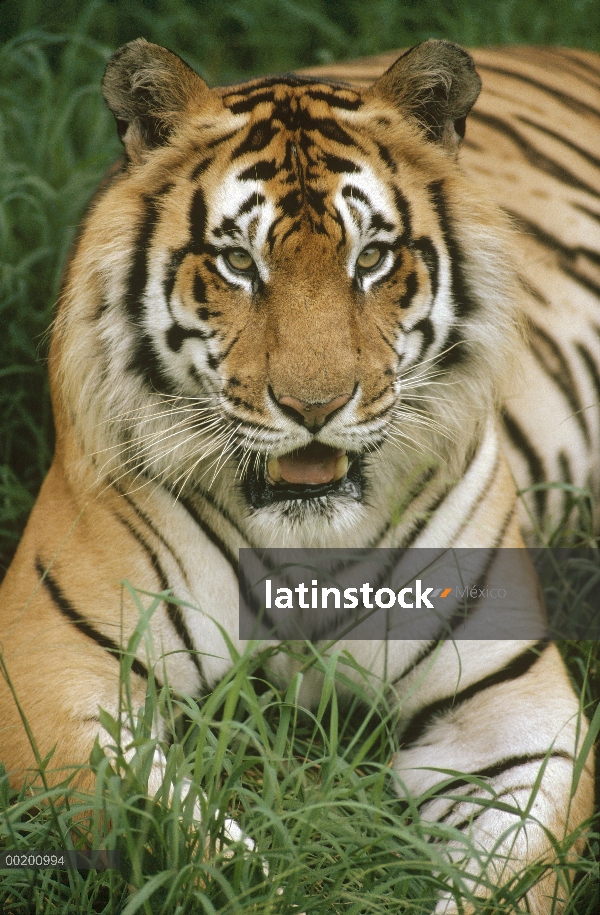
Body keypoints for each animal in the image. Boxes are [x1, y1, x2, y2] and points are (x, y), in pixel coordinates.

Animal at [0, 37, 596, 915]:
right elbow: (203, 853)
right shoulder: (51, 672)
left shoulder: (510, 698)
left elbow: (513, 873)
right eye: (238, 262)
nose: (315, 406)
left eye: (371, 258)